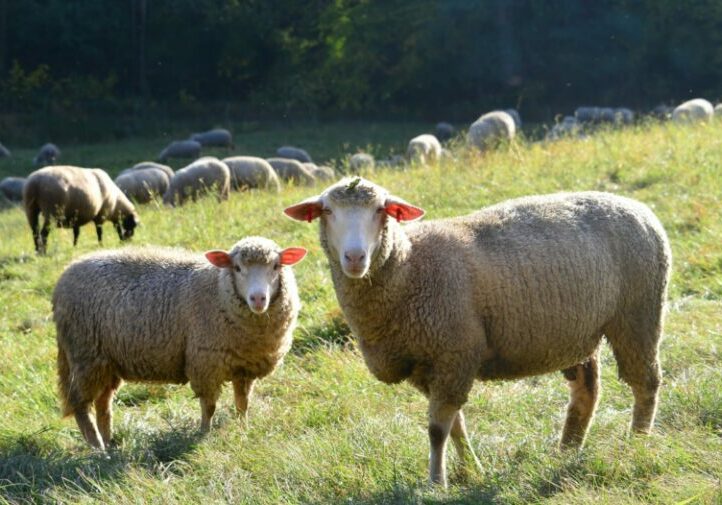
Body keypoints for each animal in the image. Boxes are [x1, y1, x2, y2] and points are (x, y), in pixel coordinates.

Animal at [53, 237, 307, 450]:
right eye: (237, 268)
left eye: (276, 266)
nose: (258, 298)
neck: (218, 291)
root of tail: (65, 273)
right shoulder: (205, 363)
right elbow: (209, 406)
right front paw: (204, 434)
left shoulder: (245, 366)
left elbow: (242, 403)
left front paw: (243, 428)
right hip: (85, 355)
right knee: (80, 405)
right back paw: (98, 448)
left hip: (107, 362)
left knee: (103, 405)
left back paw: (109, 443)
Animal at [285, 177, 671, 487]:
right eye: (327, 211)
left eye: (382, 210)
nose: (355, 257)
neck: (409, 265)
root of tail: (638, 207)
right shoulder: (429, 365)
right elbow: (454, 424)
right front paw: (472, 470)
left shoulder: (455, 352)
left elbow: (437, 429)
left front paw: (436, 482)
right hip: (577, 333)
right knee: (586, 392)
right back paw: (567, 449)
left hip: (638, 316)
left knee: (646, 382)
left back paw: (637, 442)